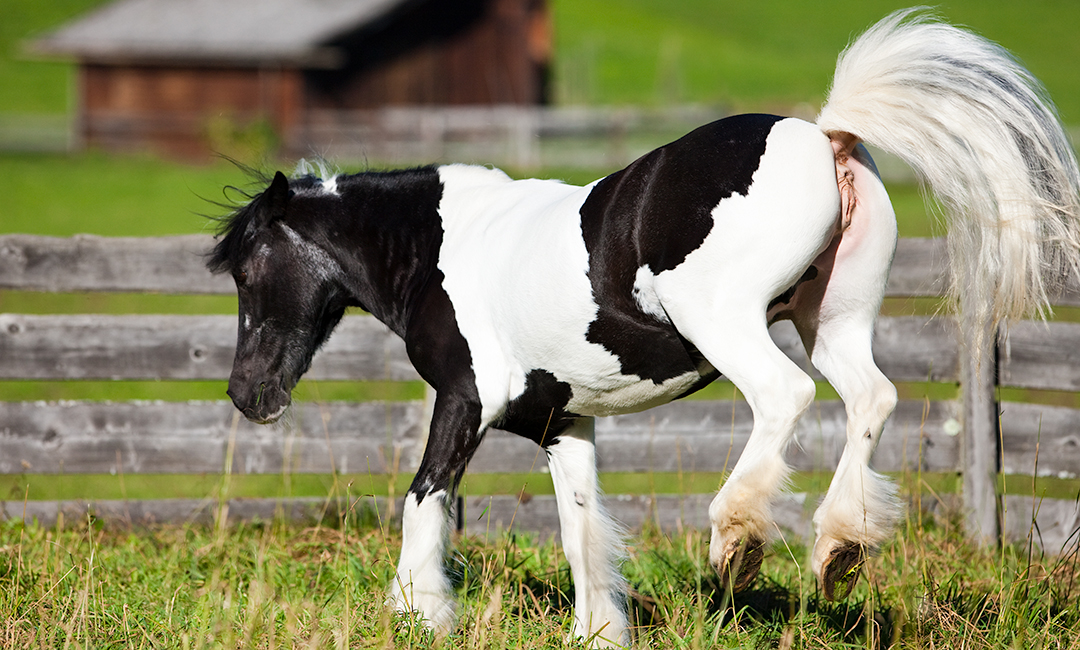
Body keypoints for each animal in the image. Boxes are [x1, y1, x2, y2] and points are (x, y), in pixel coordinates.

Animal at [206, 11, 1075, 647]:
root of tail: (821, 132)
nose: (248, 394)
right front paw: (597, 632)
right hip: (831, 319)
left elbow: (425, 498)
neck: (444, 249)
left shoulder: (465, 399)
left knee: (786, 398)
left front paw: (418, 612)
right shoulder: (563, 424)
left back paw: (737, 542)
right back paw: (837, 552)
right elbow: (582, 532)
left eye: (248, 270)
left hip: (726, 322)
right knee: (872, 399)